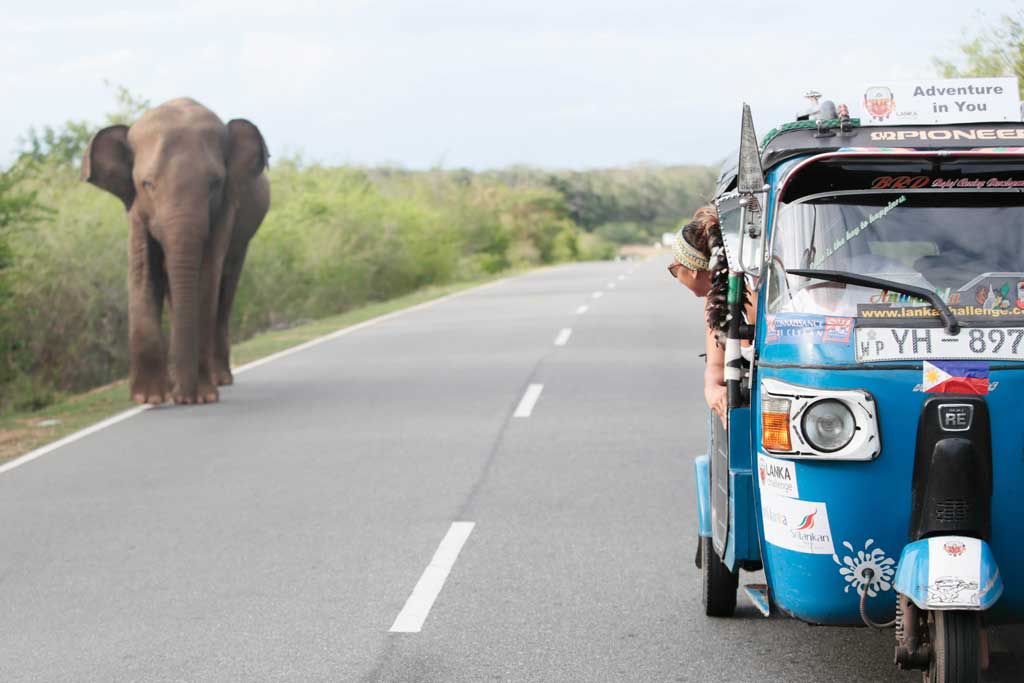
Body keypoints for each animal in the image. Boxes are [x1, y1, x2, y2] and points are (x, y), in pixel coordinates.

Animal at [83, 97, 270, 405]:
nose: (186, 397)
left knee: (225, 287)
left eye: (215, 183)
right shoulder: (136, 209)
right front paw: (149, 398)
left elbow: (206, 278)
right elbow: (144, 272)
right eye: (147, 184)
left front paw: (202, 397)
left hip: (243, 239)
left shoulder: (225, 208)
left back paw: (219, 380)